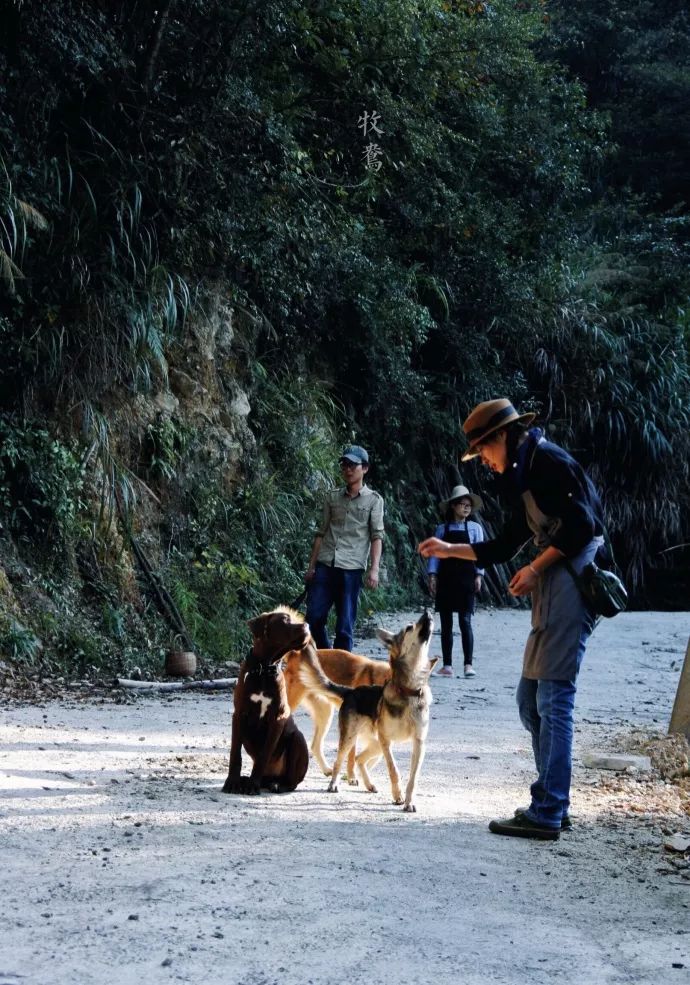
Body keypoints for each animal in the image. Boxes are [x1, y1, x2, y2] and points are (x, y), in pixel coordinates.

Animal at [296, 612, 436, 812]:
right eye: (410, 627)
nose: (428, 613)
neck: (408, 692)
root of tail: (350, 691)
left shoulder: (419, 743)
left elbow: (413, 778)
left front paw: (409, 801)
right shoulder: (386, 741)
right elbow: (394, 770)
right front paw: (398, 795)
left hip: (376, 745)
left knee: (360, 759)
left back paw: (369, 785)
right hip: (352, 738)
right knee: (340, 760)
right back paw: (333, 784)